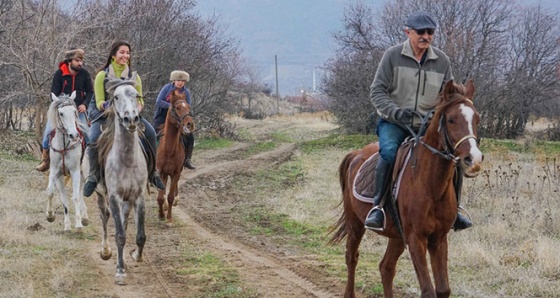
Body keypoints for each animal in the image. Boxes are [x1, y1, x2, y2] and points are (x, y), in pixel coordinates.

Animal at [45, 92, 88, 232]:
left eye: (74, 111)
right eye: (61, 113)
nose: (73, 135)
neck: (64, 146)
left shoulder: (75, 171)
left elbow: (75, 197)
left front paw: (78, 224)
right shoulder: (55, 172)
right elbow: (51, 193)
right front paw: (51, 216)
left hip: (83, 173)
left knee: (80, 192)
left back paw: (84, 218)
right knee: (70, 194)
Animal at [96, 75, 149, 286]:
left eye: (136, 95)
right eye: (116, 97)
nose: (131, 119)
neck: (127, 160)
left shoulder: (139, 197)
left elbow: (140, 235)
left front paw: (136, 256)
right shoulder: (114, 197)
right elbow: (119, 235)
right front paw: (119, 271)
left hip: (127, 201)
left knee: (125, 222)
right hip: (101, 194)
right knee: (104, 217)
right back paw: (105, 252)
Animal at [155, 88, 195, 224]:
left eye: (188, 107)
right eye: (177, 107)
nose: (190, 124)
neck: (169, 149)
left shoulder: (176, 172)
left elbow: (170, 196)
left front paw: (169, 218)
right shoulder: (160, 171)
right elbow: (160, 197)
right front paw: (161, 215)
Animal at [330, 79, 484, 298]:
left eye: (477, 119)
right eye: (451, 119)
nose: (474, 159)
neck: (431, 186)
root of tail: (356, 154)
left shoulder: (439, 239)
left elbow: (443, 289)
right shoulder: (416, 239)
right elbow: (428, 290)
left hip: (396, 236)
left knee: (386, 267)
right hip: (355, 224)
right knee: (351, 257)